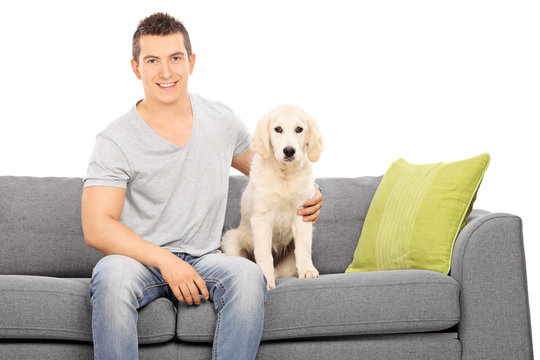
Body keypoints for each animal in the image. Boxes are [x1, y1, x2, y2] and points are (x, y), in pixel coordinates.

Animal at [220, 105, 322, 290]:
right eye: (278, 129)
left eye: (299, 129)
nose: (289, 151)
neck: (284, 175)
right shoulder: (262, 217)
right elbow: (263, 252)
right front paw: (266, 279)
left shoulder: (302, 213)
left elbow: (303, 246)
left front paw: (308, 271)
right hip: (231, 240)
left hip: (288, 266)